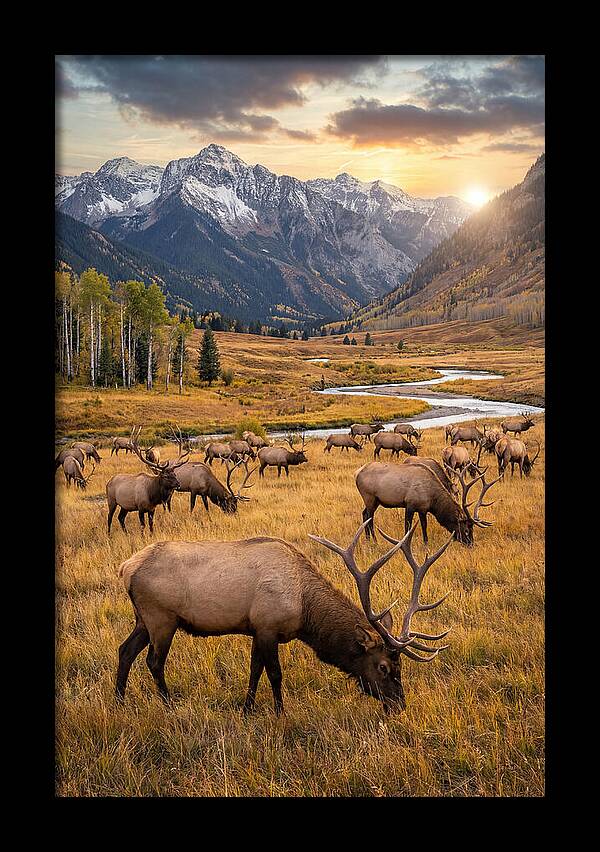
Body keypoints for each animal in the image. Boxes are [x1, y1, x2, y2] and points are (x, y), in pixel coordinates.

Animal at [115, 519, 453, 715]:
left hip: (143, 619)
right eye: (383, 666)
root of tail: (125, 568)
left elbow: (254, 670)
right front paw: (280, 712)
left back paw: (119, 701)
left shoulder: (255, 628)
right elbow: (274, 673)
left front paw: (247, 709)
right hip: (162, 618)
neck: (305, 610)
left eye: (401, 667)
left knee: (125, 650)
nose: (399, 704)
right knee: (154, 661)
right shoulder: (268, 626)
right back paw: (168, 704)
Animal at [355, 460, 499, 547]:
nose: (471, 545)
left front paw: (426, 544)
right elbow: (408, 527)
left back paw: (368, 539)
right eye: (466, 530)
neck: (433, 499)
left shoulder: (423, 509)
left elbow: (424, 526)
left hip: (374, 501)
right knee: (369, 517)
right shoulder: (410, 504)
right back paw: (374, 541)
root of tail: (356, 473)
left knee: (364, 514)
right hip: (369, 497)